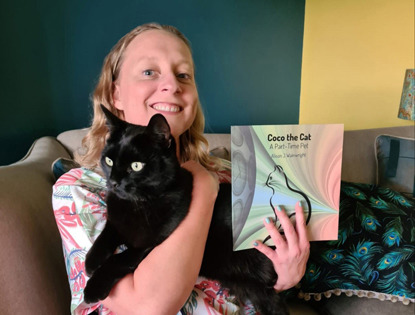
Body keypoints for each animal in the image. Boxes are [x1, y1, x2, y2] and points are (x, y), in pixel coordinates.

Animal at [84, 107, 290, 315]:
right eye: (109, 161)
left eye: (136, 166)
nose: (113, 182)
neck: (137, 204)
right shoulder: (115, 221)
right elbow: (105, 235)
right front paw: (91, 261)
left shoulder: (149, 245)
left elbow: (119, 259)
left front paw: (93, 287)